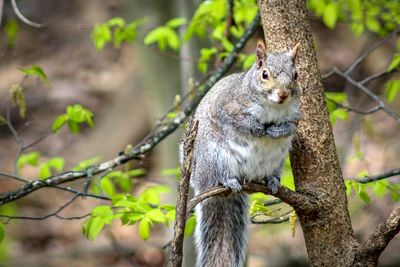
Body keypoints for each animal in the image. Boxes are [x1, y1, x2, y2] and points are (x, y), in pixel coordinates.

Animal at [186, 39, 302, 267]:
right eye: (265, 74)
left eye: (295, 75)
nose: (283, 94)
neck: (273, 108)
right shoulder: (226, 104)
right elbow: (234, 119)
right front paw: (257, 128)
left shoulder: (295, 116)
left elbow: (290, 128)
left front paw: (276, 131)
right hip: (213, 157)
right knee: (218, 175)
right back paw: (228, 180)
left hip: (275, 161)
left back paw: (272, 180)